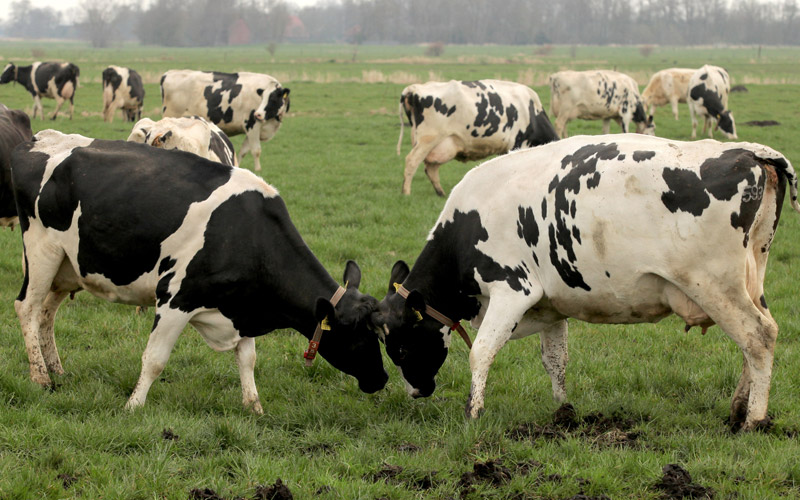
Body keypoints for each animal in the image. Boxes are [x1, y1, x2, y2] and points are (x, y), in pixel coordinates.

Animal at [11, 130, 388, 414]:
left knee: (47, 313)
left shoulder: (243, 303)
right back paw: (41, 378)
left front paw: (254, 406)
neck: (246, 229)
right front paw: (133, 406)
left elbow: (248, 358)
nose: (382, 379)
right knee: (27, 308)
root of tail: (42, 139)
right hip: (42, 251)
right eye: (360, 335)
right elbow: (155, 359)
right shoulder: (176, 298)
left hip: (69, 266)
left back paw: (57, 369)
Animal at [160, 69, 290, 173]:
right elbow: (256, 150)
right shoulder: (251, 125)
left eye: (273, 99)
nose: (258, 114)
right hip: (171, 113)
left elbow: (243, 151)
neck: (271, 122)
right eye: (263, 98)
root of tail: (169, 73)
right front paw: (258, 170)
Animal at [374, 134, 800, 434]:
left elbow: (481, 352)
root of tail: (751, 152)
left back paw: (753, 419)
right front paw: (563, 412)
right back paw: (738, 410)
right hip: (750, 281)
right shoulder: (549, 307)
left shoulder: (513, 289)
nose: (416, 391)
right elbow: (555, 360)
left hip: (714, 284)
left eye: (401, 346)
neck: (466, 226)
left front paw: (473, 413)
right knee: (755, 339)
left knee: (758, 336)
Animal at [394, 79, 556, 196]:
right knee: (412, 161)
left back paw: (441, 193)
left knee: (431, 167)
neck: (532, 112)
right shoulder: (519, 143)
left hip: (440, 143)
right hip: (428, 138)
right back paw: (406, 192)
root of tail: (413, 88)